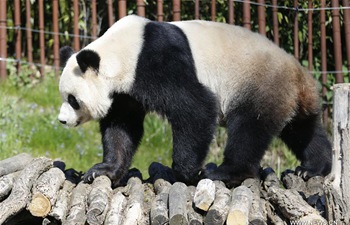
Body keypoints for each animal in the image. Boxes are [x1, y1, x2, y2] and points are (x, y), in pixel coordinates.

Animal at [58, 14, 332, 186]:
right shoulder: (125, 91)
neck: (119, 52)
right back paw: (313, 168)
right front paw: (104, 170)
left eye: (73, 99)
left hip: (259, 84)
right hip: (286, 96)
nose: (61, 121)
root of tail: (301, 79)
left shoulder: (157, 61)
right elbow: (122, 127)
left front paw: (186, 172)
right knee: (302, 130)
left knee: (249, 128)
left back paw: (225, 172)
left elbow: (196, 107)